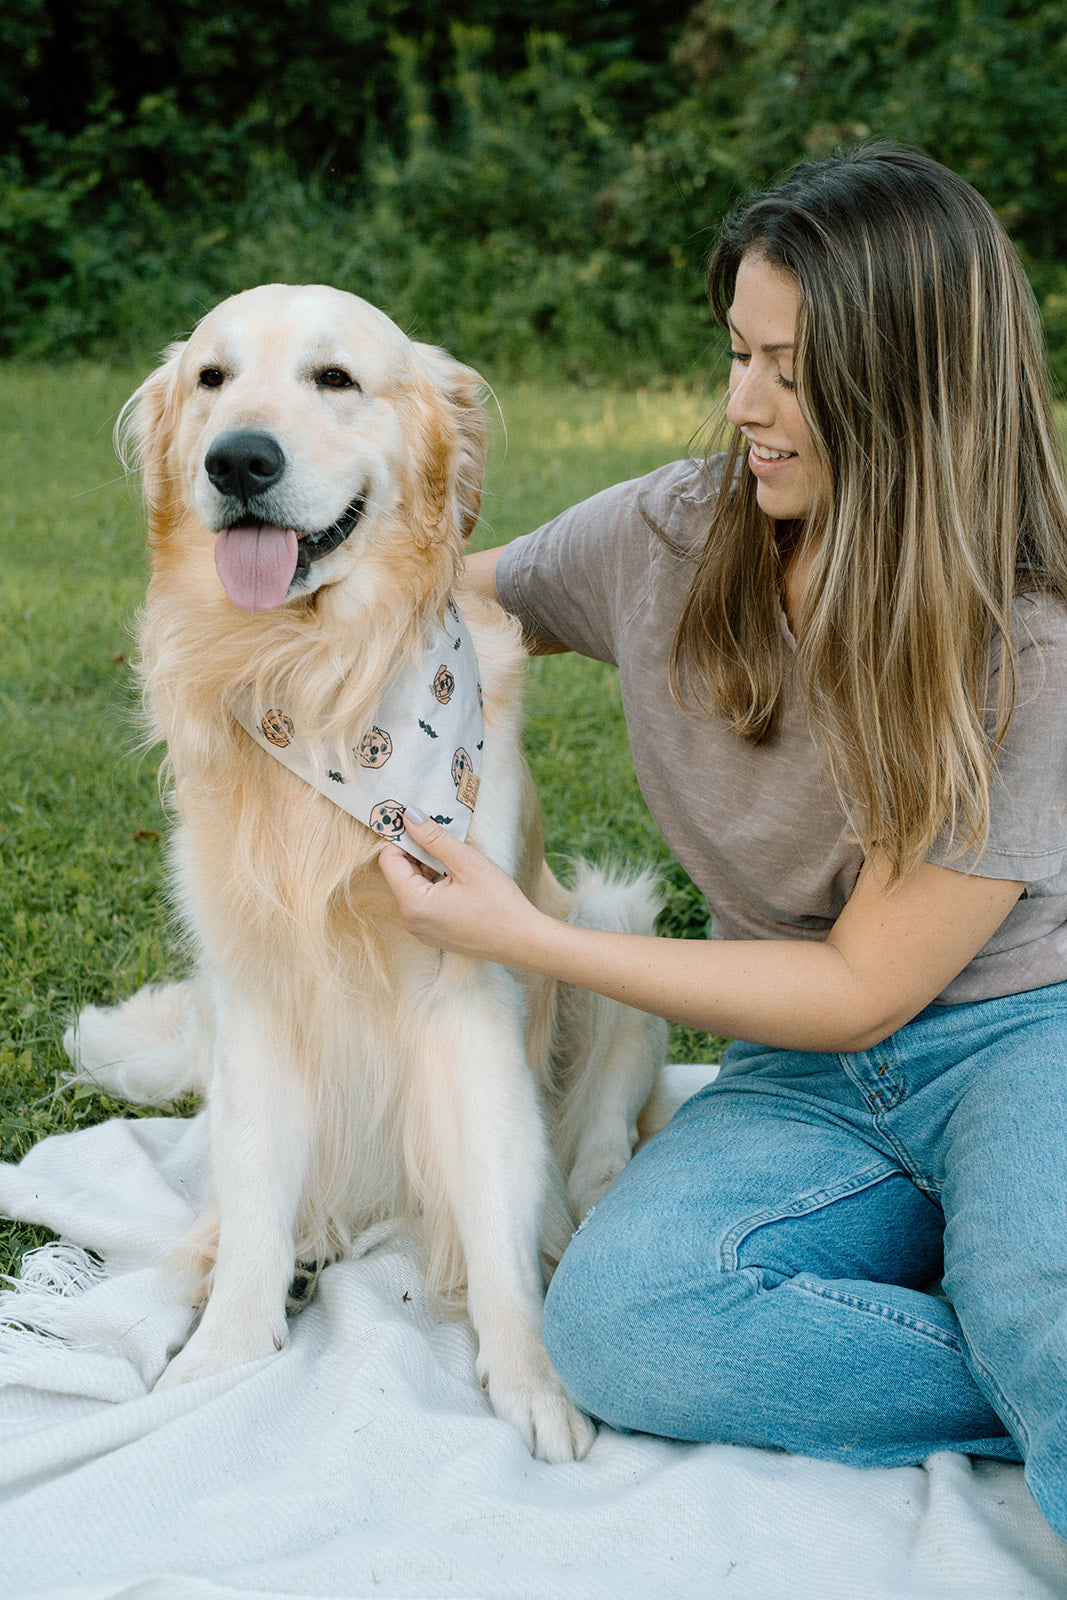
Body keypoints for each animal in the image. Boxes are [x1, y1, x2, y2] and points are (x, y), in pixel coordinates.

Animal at [66, 284, 662, 1465]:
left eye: (334, 379)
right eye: (211, 379)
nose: (238, 460)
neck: (315, 677)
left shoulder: (469, 979)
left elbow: (495, 1204)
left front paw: (529, 1376)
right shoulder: (251, 987)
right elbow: (255, 1184)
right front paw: (222, 1353)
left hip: (614, 930)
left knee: (584, 1153)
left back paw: (575, 1219)